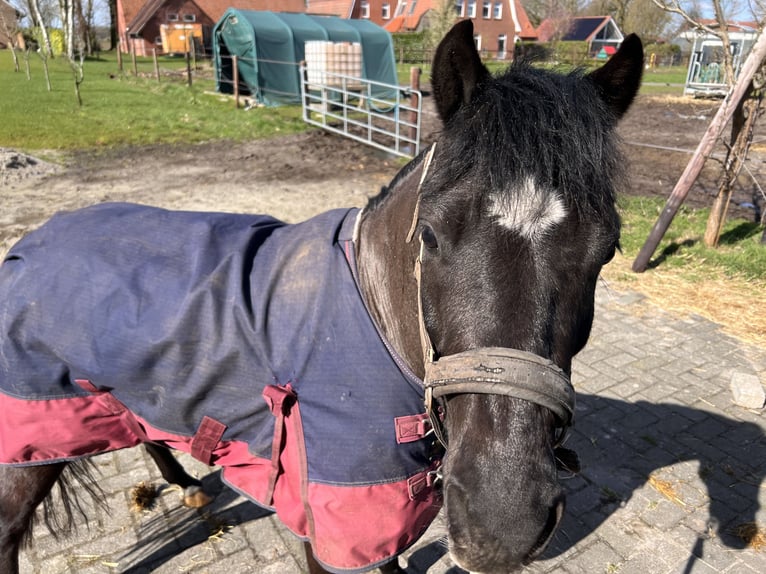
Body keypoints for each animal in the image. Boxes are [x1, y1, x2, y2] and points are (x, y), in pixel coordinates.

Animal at [0, 20, 644, 574]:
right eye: (430, 234)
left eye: (607, 249)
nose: (501, 521)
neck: (371, 327)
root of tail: (27, 246)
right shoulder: (332, 528)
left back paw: (186, 489)